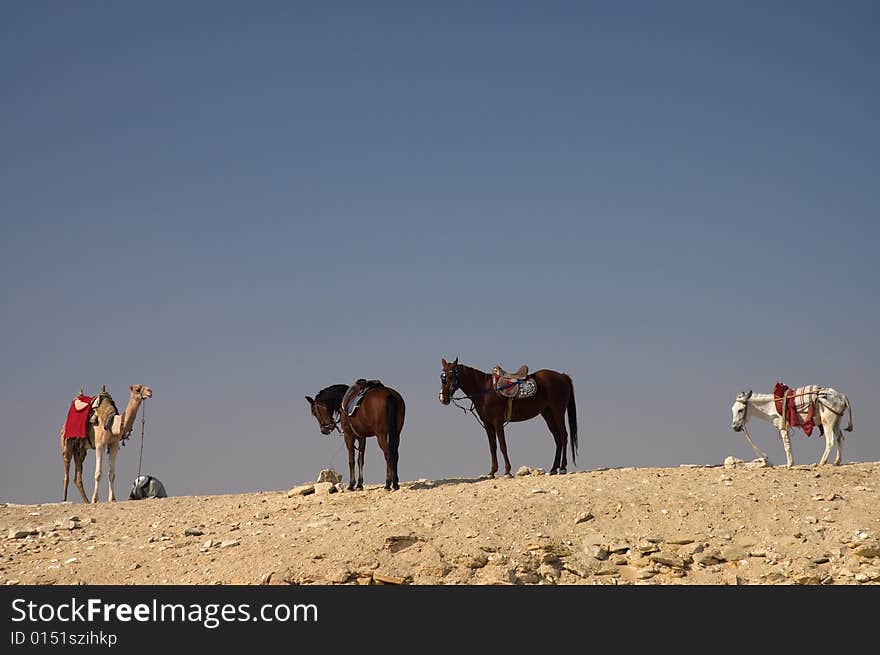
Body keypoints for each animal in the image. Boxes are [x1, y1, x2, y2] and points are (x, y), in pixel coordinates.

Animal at [438, 358, 576, 476]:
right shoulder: (488, 424)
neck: (484, 390)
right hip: (548, 414)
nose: (442, 398)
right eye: (442, 378)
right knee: (557, 438)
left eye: (450, 377)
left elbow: (503, 446)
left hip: (558, 411)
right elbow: (492, 446)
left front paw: (507, 471)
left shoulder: (497, 422)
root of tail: (562, 376)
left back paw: (562, 468)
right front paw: (492, 472)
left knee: (563, 436)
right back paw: (553, 468)